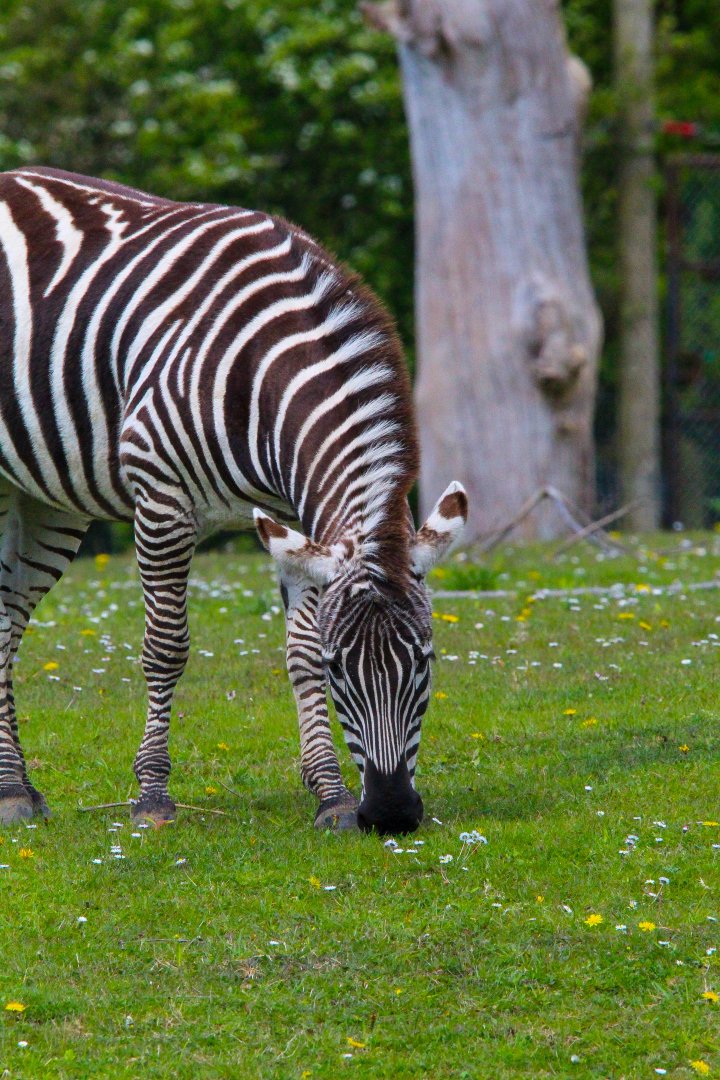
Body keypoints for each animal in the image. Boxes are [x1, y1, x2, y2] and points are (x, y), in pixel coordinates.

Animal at [0, 167, 468, 835]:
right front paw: (152, 796)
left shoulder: (295, 520)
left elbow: (297, 650)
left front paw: (330, 795)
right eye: (341, 669)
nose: (392, 813)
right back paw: (13, 787)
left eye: (426, 661)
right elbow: (166, 648)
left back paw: (17, 788)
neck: (261, 378)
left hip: (46, 500)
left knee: (6, 622)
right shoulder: (162, 499)